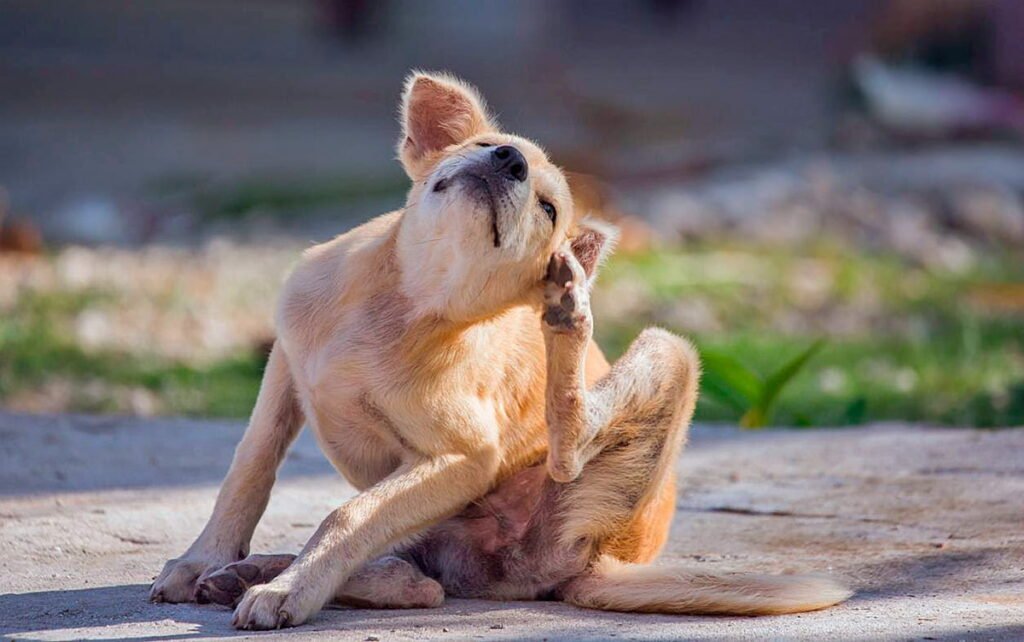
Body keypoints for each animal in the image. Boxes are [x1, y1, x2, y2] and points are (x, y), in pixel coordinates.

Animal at [149, 71, 856, 626]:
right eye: (492, 147)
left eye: (547, 208)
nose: (509, 162)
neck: (403, 303)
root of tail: (602, 561)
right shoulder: (285, 369)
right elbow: (249, 469)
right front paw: (204, 558)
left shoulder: (464, 457)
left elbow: (347, 516)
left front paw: (290, 591)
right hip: (436, 530)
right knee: (417, 577)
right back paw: (249, 573)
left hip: (662, 365)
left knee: (527, 485)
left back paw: (568, 318)